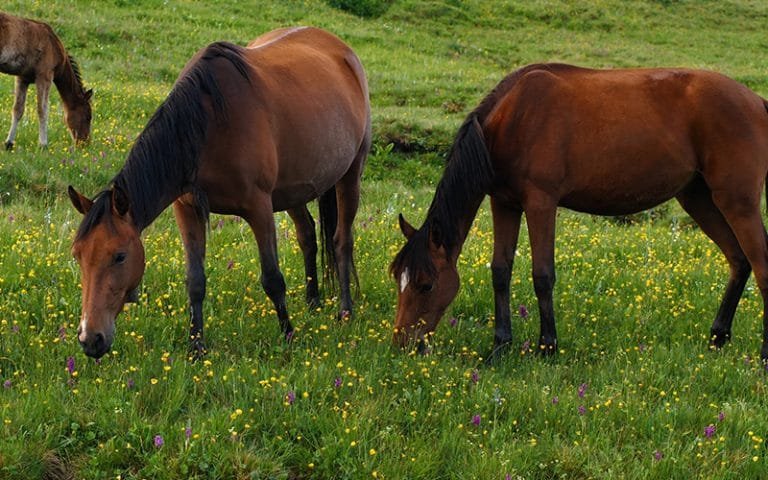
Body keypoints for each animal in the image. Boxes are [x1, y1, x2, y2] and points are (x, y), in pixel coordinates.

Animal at [0, 11, 92, 149]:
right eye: (88, 116)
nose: (85, 143)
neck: (54, 46)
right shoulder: (45, 76)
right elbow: (42, 110)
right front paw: (43, 144)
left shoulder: (22, 78)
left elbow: (18, 109)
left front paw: (9, 143)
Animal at [68, 27, 370, 359]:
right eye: (78, 255)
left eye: (119, 256)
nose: (90, 339)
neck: (209, 123)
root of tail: (341, 49)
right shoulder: (187, 209)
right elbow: (195, 281)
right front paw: (196, 346)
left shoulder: (259, 208)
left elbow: (272, 279)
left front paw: (288, 336)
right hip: (296, 190)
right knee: (307, 235)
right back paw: (313, 301)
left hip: (350, 174)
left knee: (342, 241)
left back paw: (344, 311)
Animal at [391, 63, 768, 362]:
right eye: (399, 279)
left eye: (425, 285)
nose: (402, 345)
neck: (514, 117)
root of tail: (756, 101)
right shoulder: (505, 203)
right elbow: (500, 272)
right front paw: (500, 347)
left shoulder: (541, 202)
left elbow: (543, 275)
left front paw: (547, 347)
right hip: (699, 199)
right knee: (739, 261)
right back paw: (717, 338)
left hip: (738, 201)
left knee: (760, 265)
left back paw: (763, 355)